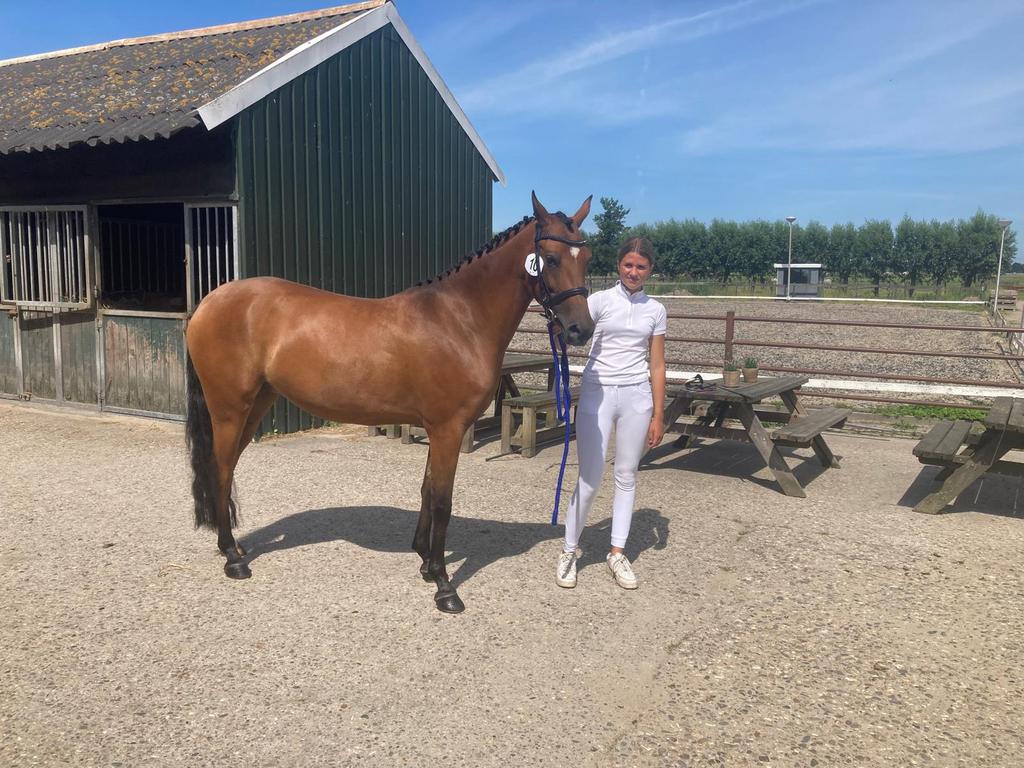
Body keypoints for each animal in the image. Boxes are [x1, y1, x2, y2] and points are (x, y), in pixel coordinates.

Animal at [184, 193, 594, 613]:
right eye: (551, 258)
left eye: (586, 257)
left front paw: (427, 564)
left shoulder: (438, 429)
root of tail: (207, 303)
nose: (581, 329)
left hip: (256, 405)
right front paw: (445, 587)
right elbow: (442, 502)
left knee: (227, 469)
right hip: (229, 410)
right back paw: (233, 559)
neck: (459, 320)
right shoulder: (448, 429)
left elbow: (428, 491)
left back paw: (234, 548)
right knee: (220, 470)